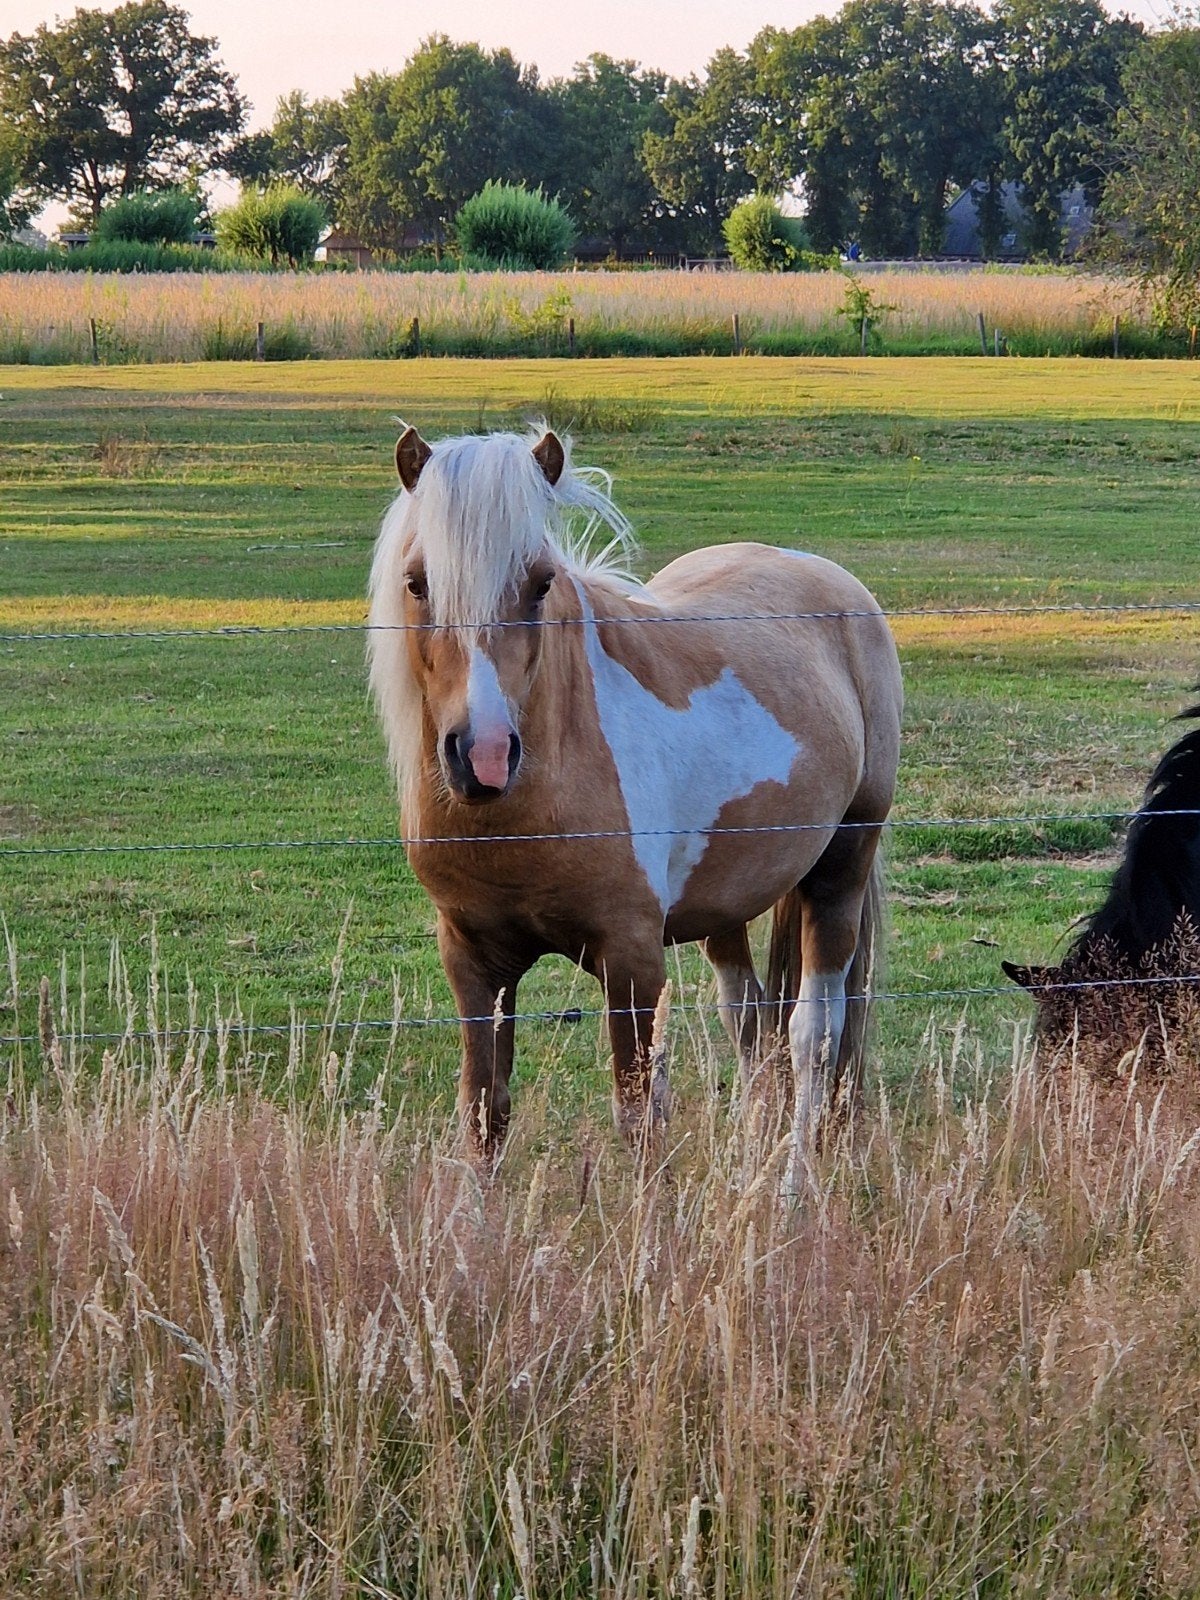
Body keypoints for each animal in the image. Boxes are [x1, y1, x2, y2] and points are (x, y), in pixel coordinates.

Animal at [368, 425, 903, 1161]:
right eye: (416, 583)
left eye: (541, 583)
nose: (484, 757)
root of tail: (826, 576)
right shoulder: (474, 963)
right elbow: (484, 1116)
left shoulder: (631, 962)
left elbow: (640, 1120)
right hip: (725, 903)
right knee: (748, 1020)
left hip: (841, 869)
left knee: (812, 1035)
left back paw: (792, 1182)